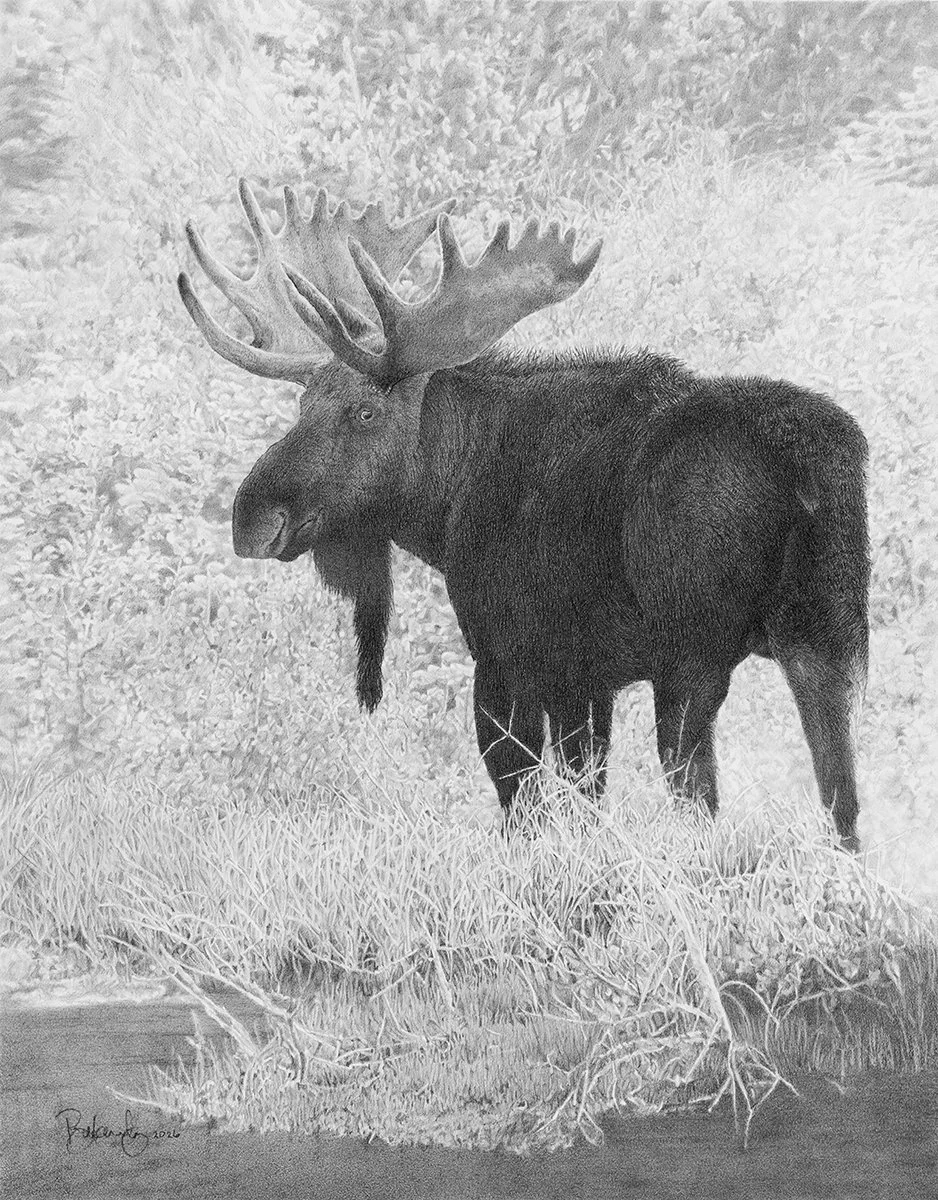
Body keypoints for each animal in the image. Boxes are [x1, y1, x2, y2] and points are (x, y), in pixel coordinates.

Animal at [178, 179, 870, 850]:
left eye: (366, 411)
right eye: (302, 403)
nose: (252, 517)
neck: (448, 499)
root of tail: (809, 457)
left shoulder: (511, 657)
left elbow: (524, 803)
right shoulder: (585, 677)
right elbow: (585, 797)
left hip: (693, 652)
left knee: (698, 799)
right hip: (823, 643)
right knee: (841, 801)